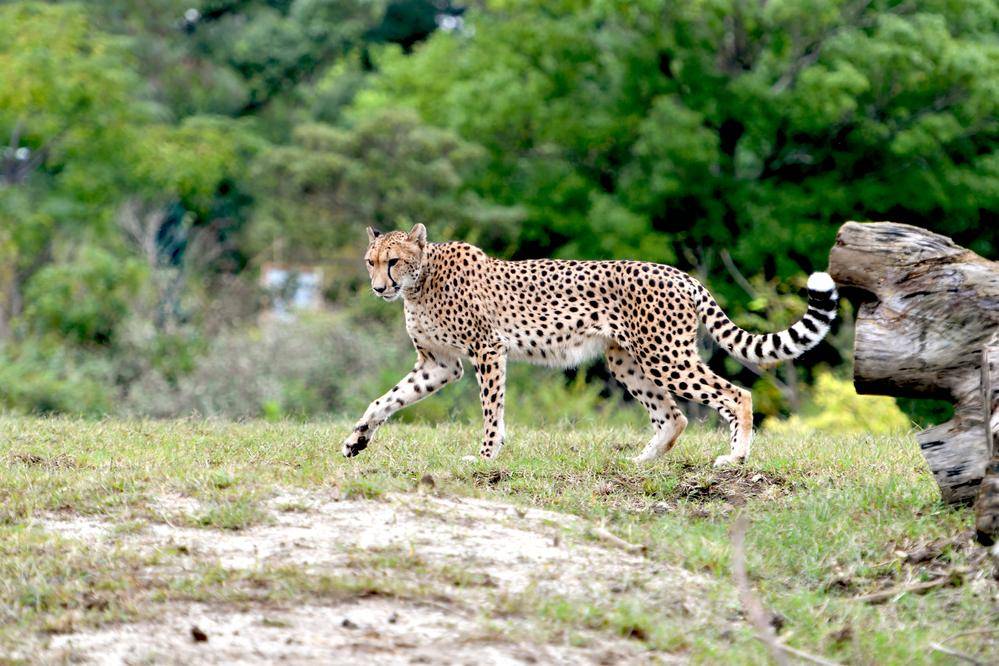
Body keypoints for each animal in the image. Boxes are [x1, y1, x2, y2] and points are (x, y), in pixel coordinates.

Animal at [340, 222, 840, 462]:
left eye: (394, 261)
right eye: (370, 262)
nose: (379, 288)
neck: (421, 281)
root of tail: (681, 273)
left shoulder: (487, 350)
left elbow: (491, 412)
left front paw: (484, 457)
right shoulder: (440, 363)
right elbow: (386, 399)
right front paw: (357, 439)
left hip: (666, 356)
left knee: (735, 394)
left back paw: (735, 457)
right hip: (629, 361)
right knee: (674, 416)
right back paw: (640, 462)